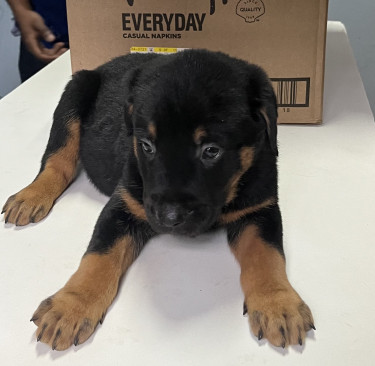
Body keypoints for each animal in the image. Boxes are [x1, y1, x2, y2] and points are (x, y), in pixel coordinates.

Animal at [2, 48, 314, 348]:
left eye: (211, 150)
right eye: (146, 146)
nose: (169, 218)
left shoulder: (261, 208)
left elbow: (268, 255)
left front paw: (279, 305)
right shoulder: (123, 204)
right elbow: (98, 256)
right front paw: (70, 308)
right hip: (74, 94)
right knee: (58, 160)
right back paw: (31, 196)